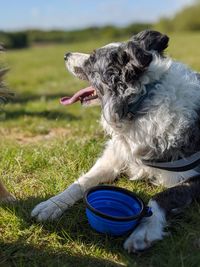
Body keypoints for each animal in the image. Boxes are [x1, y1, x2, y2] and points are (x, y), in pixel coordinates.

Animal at [30, 30, 200, 253]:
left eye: (92, 59)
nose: (66, 55)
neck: (140, 105)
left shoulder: (193, 178)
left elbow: (159, 198)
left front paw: (144, 232)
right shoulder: (115, 156)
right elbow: (81, 182)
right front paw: (52, 204)